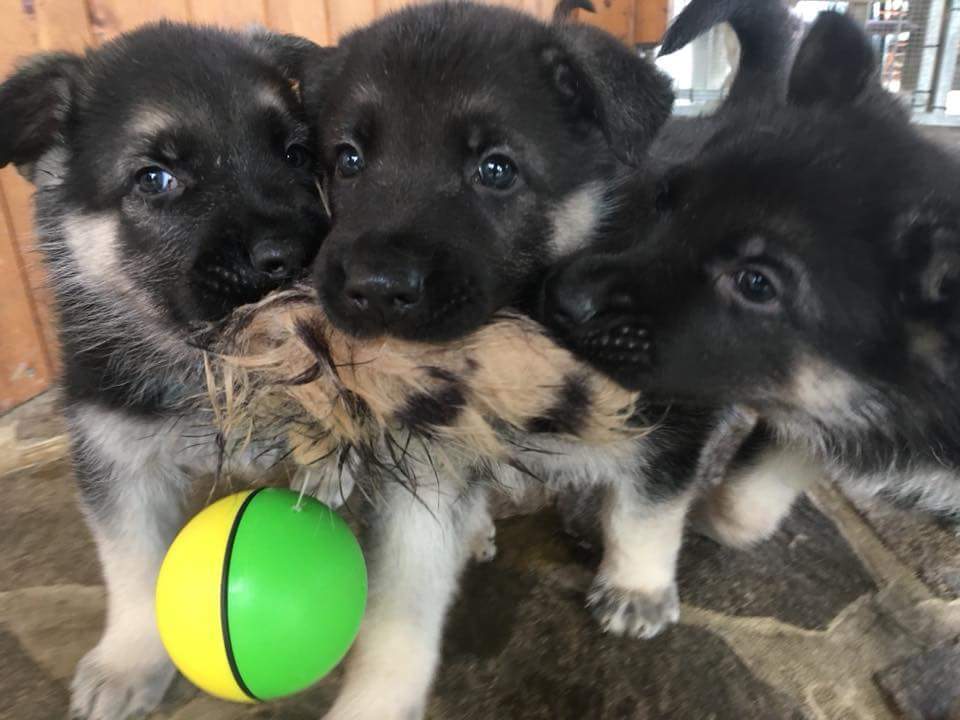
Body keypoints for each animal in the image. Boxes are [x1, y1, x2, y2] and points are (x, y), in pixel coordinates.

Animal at [0, 23, 328, 720]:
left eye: (294, 154)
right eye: (155, 178)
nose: (294, 256)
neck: (213, 367)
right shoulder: (114, 460)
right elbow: (130, 563)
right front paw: (131, 660)